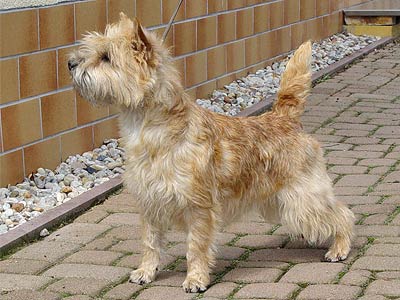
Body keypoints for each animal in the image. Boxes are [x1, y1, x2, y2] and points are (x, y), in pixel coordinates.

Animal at [69, 12, 354, 292]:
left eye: (106, 57)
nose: (71, 63)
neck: (153, 130)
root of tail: (284, 117)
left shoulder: (199, 206)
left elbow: (196, 247)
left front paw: (195, 279)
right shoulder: (149, 203)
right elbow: (150, 243)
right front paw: (145, 272)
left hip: (303, 195)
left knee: (342, 213)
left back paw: (339, 248)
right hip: (277, 200)